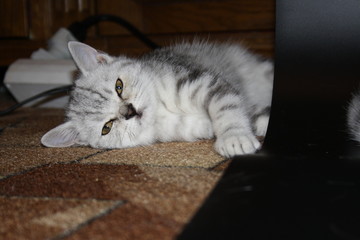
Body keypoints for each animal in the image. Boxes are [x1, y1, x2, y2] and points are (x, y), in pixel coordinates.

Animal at [40, 41, 272, 158]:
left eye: (119, 86)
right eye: (107, 127)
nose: (129, 111)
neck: (161, 110)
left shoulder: (203, 82)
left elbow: (226, 108)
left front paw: (235, 136)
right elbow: (244, 111)